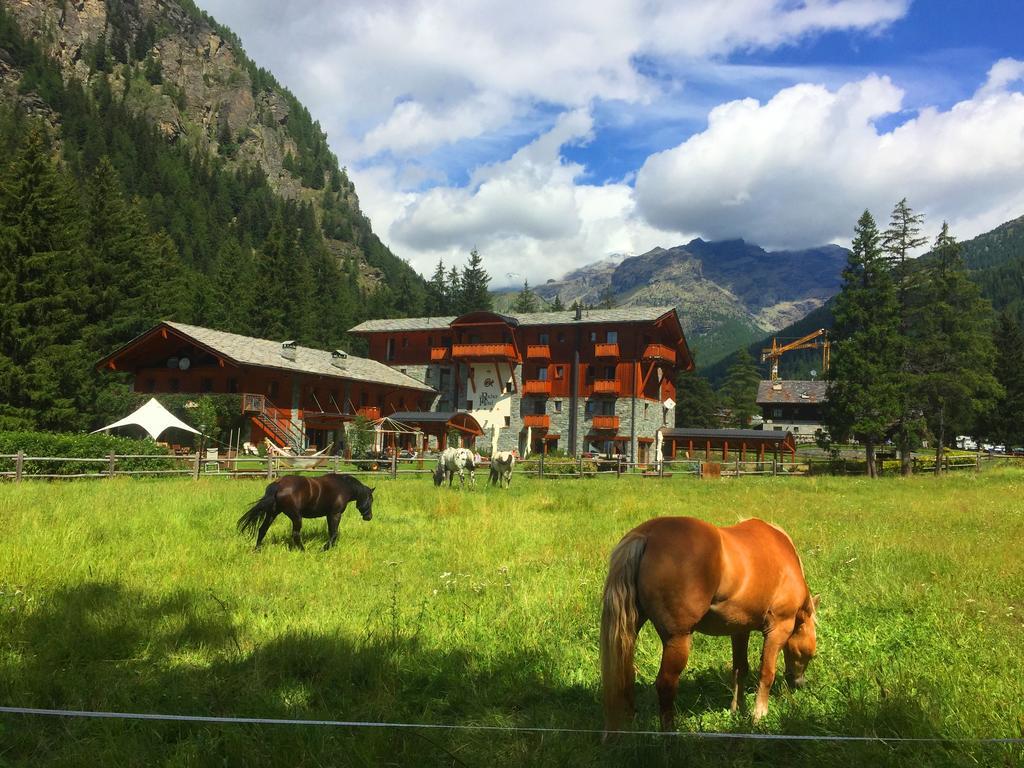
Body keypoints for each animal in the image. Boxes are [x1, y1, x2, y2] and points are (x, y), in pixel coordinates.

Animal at [234, 475, 372, 552]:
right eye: (371, 500)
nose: (369, 517)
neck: (344, 486)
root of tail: (278, 484)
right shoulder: (334, 514)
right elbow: (334, 533)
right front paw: (324, 548)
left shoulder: (330, 515)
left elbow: (332, 533)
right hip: (296, 517)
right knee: (295, 534)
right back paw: (303, 550)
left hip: (272, 513)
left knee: (262, 530)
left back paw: (257, 549)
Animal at [598, 520, 815, 729]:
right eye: (810, 654)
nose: (799, 683)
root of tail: (647, 534)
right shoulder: (778, 629)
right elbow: (766, 673)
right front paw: (758, 716)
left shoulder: (739, 631)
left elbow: (740, 670)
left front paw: (737, 711)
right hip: (678, 640)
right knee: (665, 685)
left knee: (625, 679)